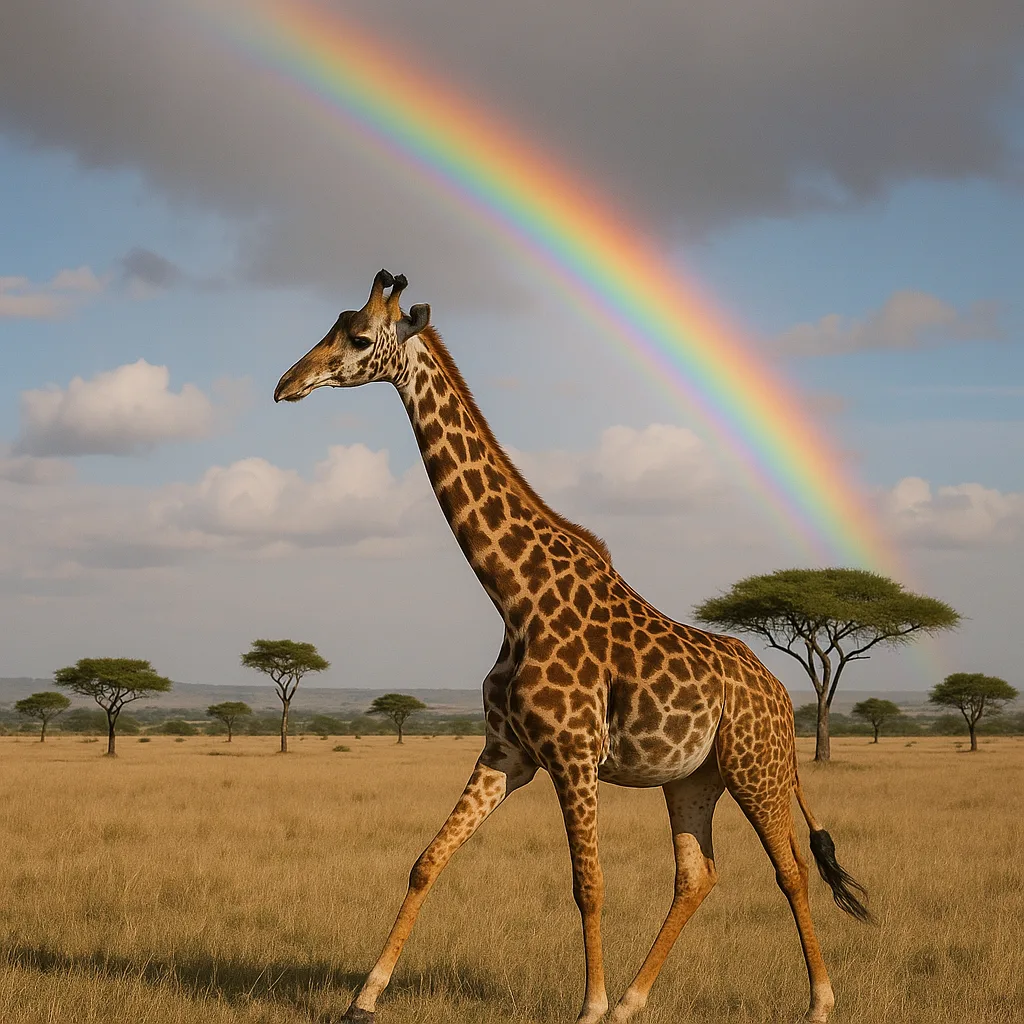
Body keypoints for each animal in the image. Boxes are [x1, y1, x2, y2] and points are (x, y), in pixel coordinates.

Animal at [274, 270, 870, 1024]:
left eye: (356, 338)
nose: (287, 383)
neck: (514, 596)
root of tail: (783, 695)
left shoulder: (574, 756)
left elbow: (590, 885)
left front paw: (588, 1005)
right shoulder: (507, 752)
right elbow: (426, 861)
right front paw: (364, 998)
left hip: (755, 768)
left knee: (789, 871)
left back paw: (819, 1001)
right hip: (692, 777)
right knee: (697, 874)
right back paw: (635, 1001)